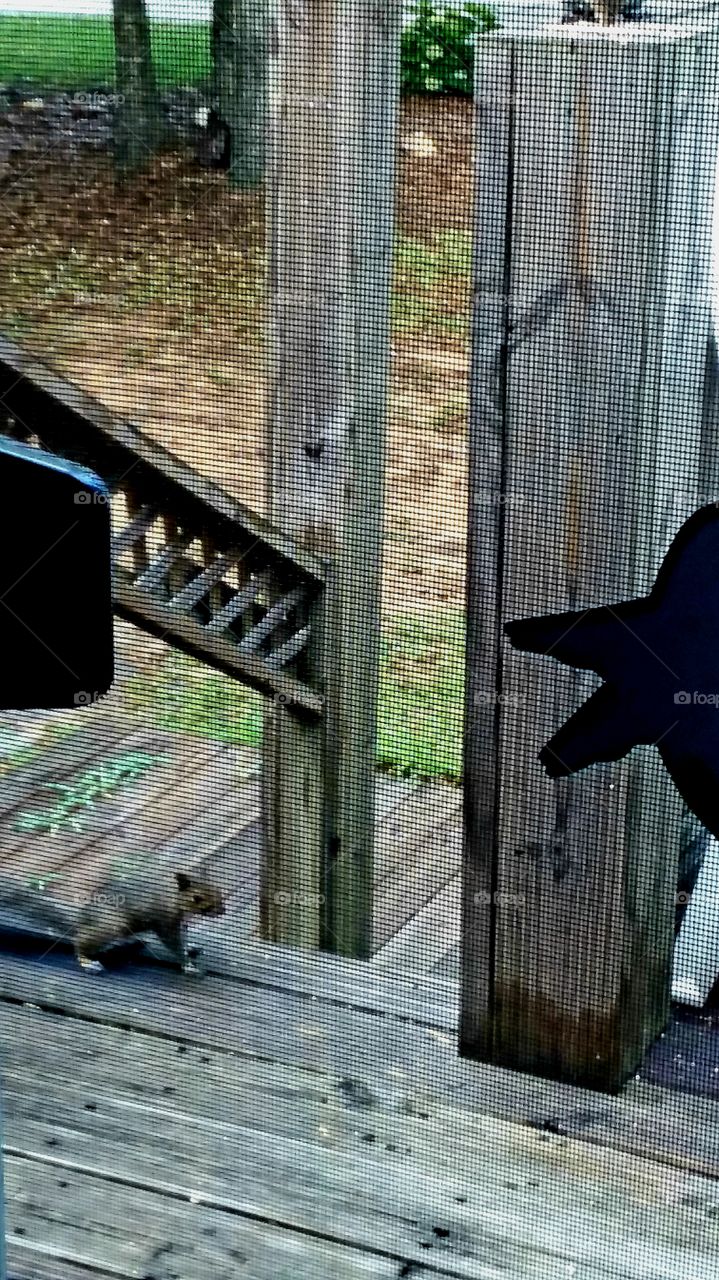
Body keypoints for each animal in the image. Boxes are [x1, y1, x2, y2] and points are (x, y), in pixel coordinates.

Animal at [0, 870, 225, 975]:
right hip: (108, 926)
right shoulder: (164, 921)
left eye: (218, 888)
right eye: (196, 898)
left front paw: (190, 948)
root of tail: (81, 920)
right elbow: (173, 943)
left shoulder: (178, 923)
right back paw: (87, 961)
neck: (172, 896)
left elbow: (183, 938)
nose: (222, 910)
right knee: (78, 942)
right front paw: (187, 964)